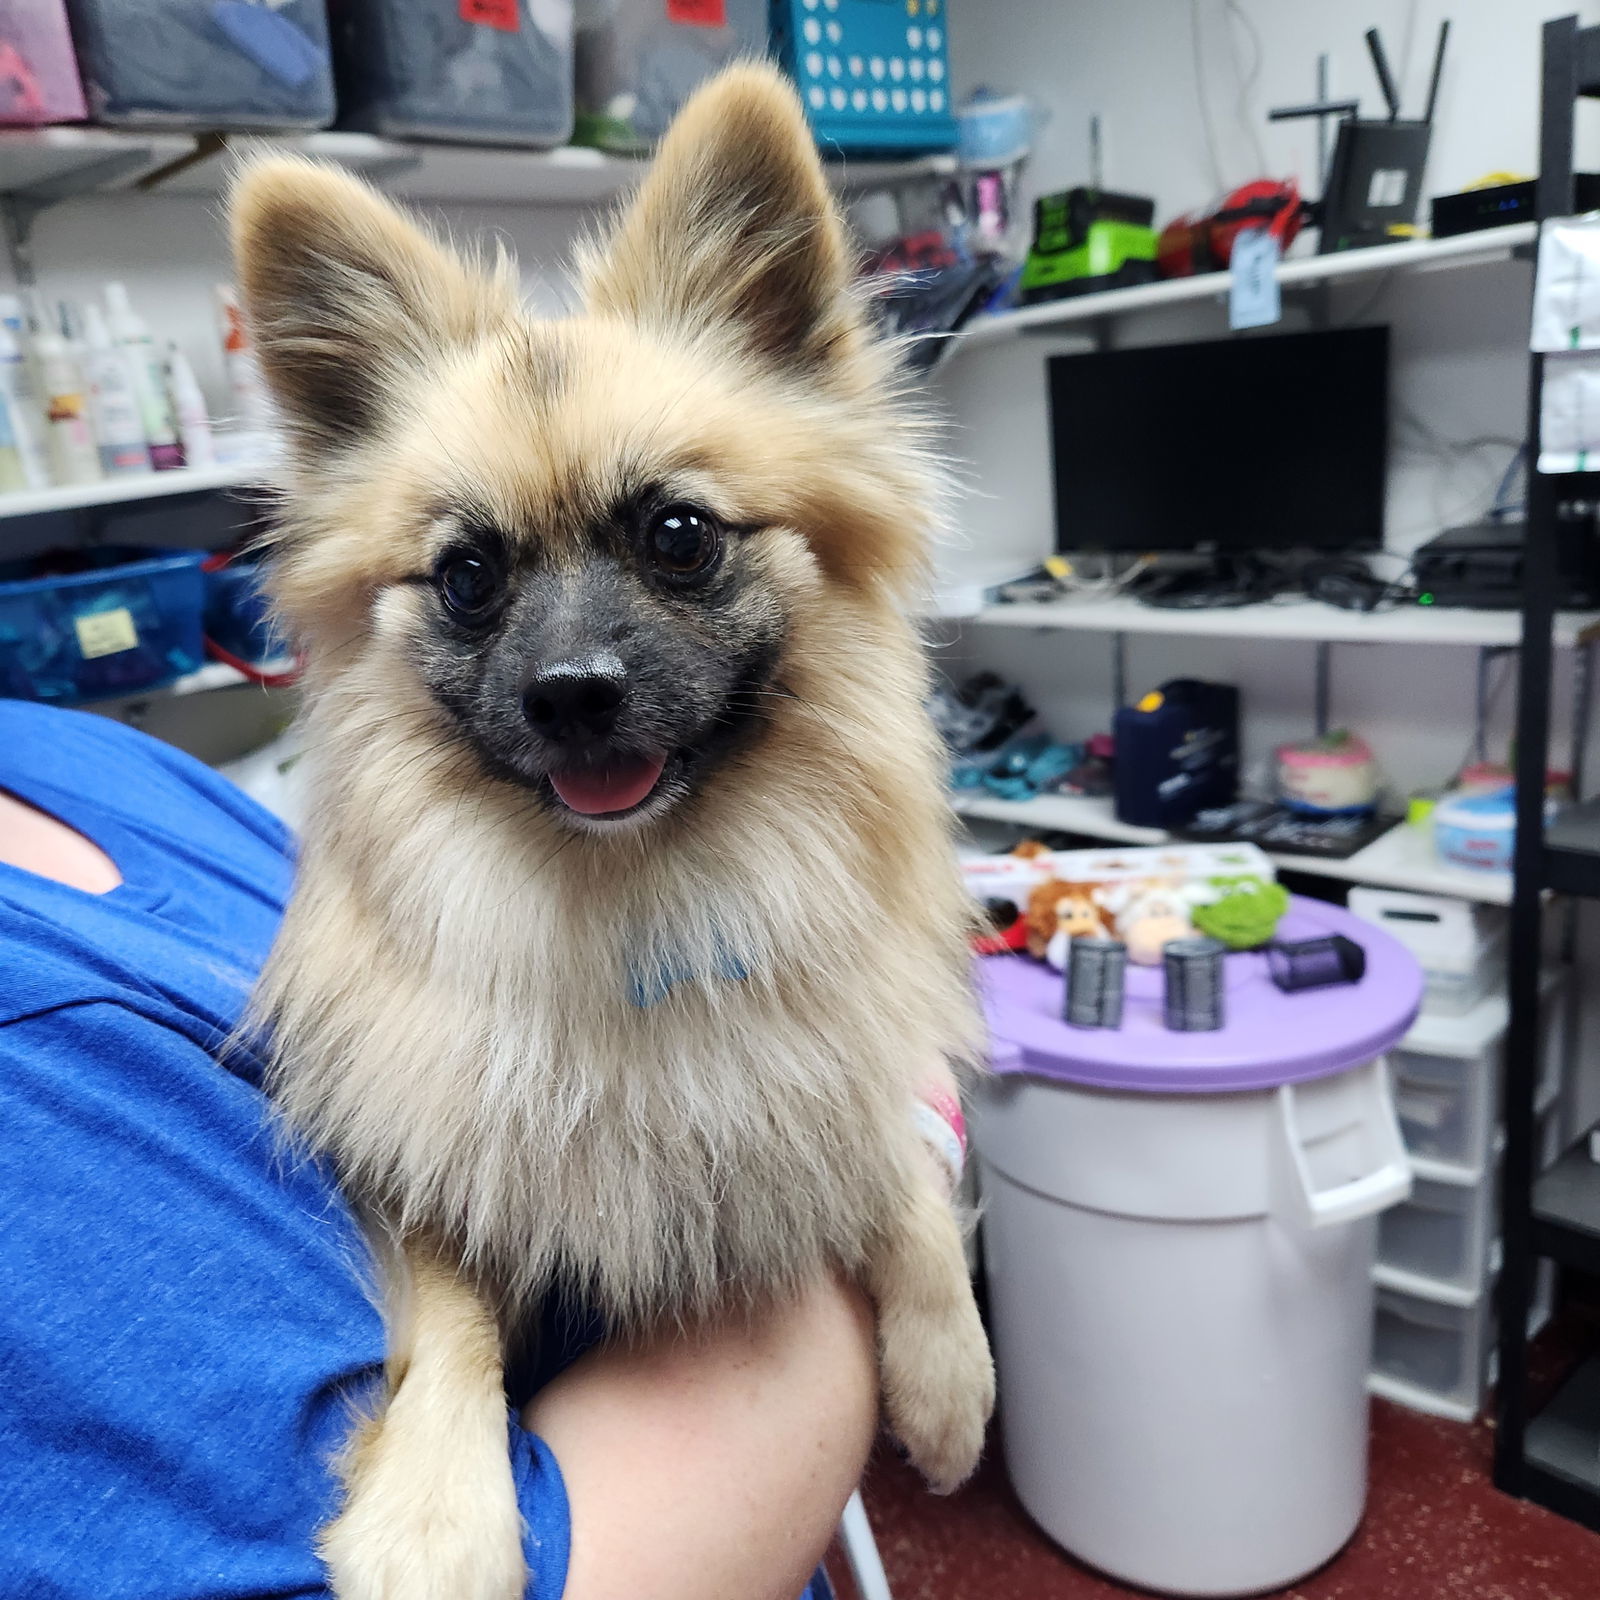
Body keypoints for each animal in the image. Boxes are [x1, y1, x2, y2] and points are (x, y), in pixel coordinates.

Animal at [233, 56, 992, 1593]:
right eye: (468, 575)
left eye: (678, 536)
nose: (573, 692)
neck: (634, 894)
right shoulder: (422, 1167)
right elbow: (452, 1310)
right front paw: (434, 1513)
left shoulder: (832, 1071)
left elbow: (895, 1170)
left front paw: (949, 1378)